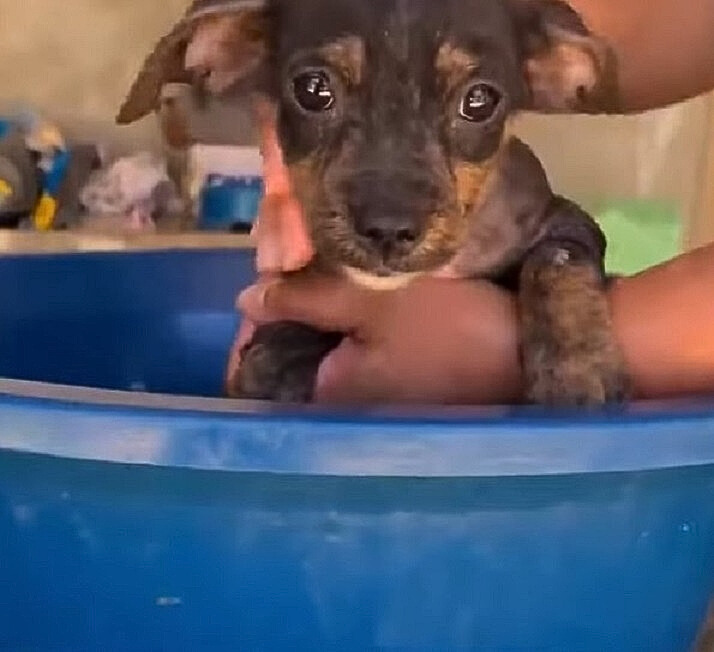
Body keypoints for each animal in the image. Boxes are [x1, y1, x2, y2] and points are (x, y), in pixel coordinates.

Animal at [119, 0, 624, 408]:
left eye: (479, 100)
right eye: (312, 89)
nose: (389, 229)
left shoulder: (559, 218)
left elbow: (558, 260)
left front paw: (575, 369)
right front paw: (279, 352)